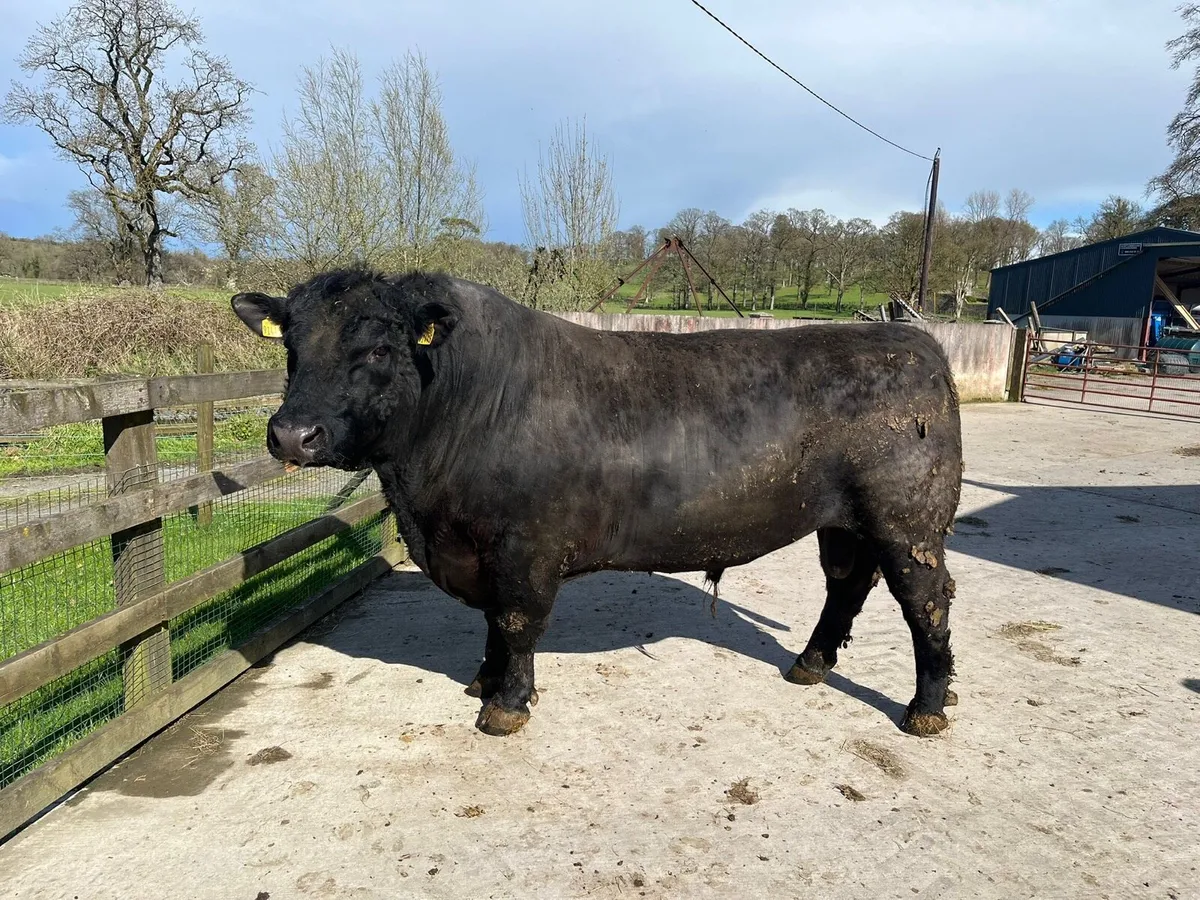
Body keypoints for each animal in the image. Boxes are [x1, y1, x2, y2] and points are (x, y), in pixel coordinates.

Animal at [232, 269, 963, 739]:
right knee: (847, 584)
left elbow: (516, 621)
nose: (292, 434)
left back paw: (925, 709)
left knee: (925, 602)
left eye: (380, 347)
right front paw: (483, 680)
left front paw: (505, 705)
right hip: (842, 522)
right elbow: (493, 624)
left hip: (909, 522)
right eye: (290, 347)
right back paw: (810, 665)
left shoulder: (523, 547)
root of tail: (914, 341)